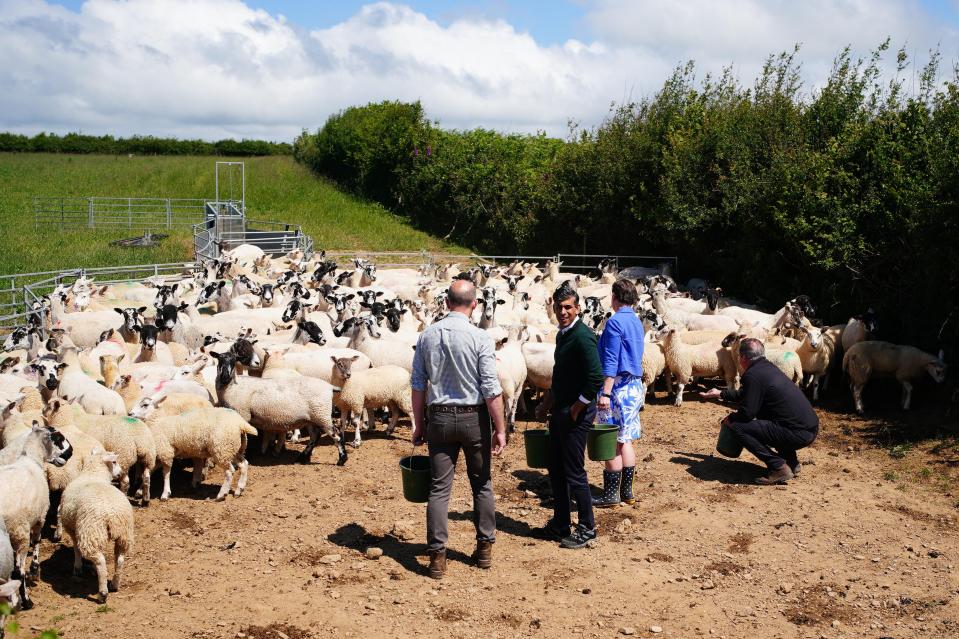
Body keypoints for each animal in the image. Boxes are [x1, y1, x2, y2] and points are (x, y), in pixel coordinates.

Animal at [0, 424, 73, 608]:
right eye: (59, 438)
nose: (71, 452)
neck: (31, 460)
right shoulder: (40, 518)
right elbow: (37, 543)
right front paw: (35, 569)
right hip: (19, 533)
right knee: (18, 572)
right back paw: (27, 601)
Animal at [57, 448, 134, 604]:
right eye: (114, 462)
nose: (120, 473)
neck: (93, 474)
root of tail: (111, 514)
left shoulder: (73, 528)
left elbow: (76, 548)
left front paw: (78, 567)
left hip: (91, 531)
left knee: (101, 561)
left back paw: (102, 593)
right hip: (124, 534)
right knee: (120, 559)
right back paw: (114, 584)